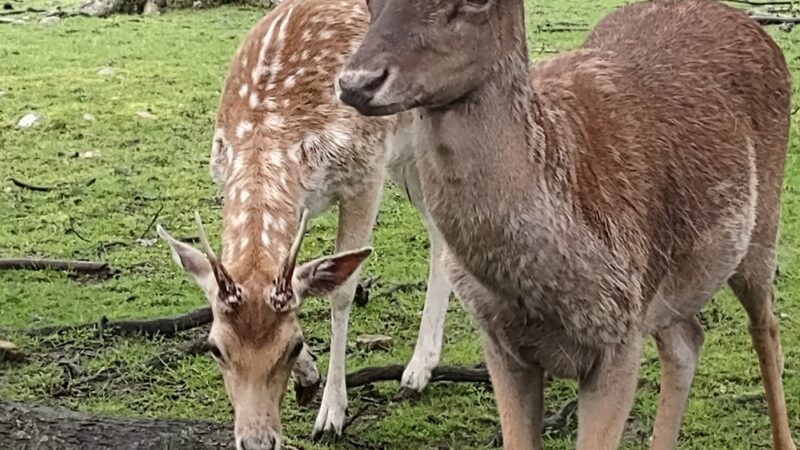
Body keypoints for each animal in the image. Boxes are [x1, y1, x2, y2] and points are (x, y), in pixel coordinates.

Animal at [154, 0, 452, 448]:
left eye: (292, 346)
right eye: (215, 348)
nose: (258, 441)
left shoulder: (366, 172)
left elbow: (342, 291)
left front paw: (331, 414)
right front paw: (308, 379)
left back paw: (417, 371)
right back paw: (422, 367)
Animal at [337, 0, 797, 449]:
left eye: (479, 2)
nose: (357, 82)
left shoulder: (618, 342)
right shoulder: (500, 343)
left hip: (762, 223)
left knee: (766, 327)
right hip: (665, 288)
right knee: (688, 340)